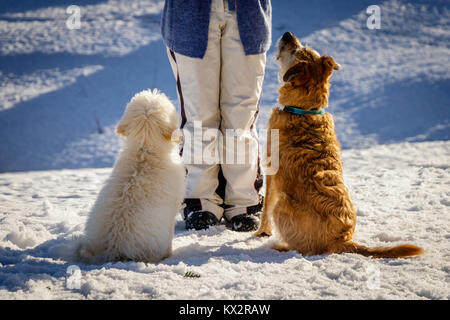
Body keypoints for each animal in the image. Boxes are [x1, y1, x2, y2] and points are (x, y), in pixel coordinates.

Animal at [255, 31, 424, 258]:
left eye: (296, 50)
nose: (287, 34)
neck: (304, 110)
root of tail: (342, 239)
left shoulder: (271, 172)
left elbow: (265, 208)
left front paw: (261, 232)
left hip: (283, 204)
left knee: (306, 248)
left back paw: (281, 246)